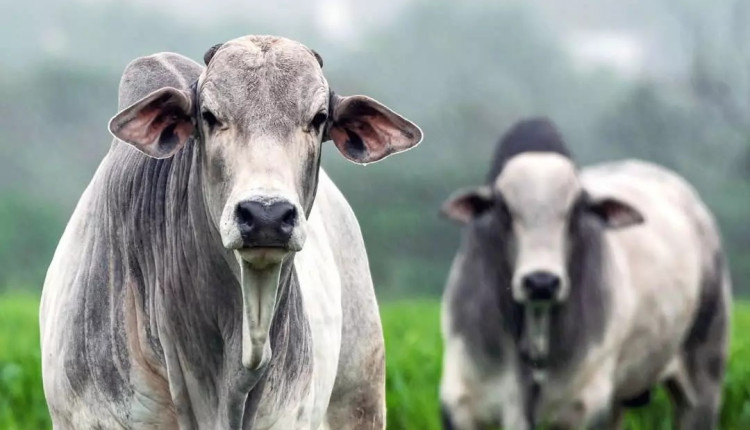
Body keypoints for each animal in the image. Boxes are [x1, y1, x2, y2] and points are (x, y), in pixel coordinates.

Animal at [440, 118, 736, 430]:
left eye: (576, 209)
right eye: (503, 207)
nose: (541, 282)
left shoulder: (586, 407)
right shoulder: (459, 401)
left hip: (704, 376)